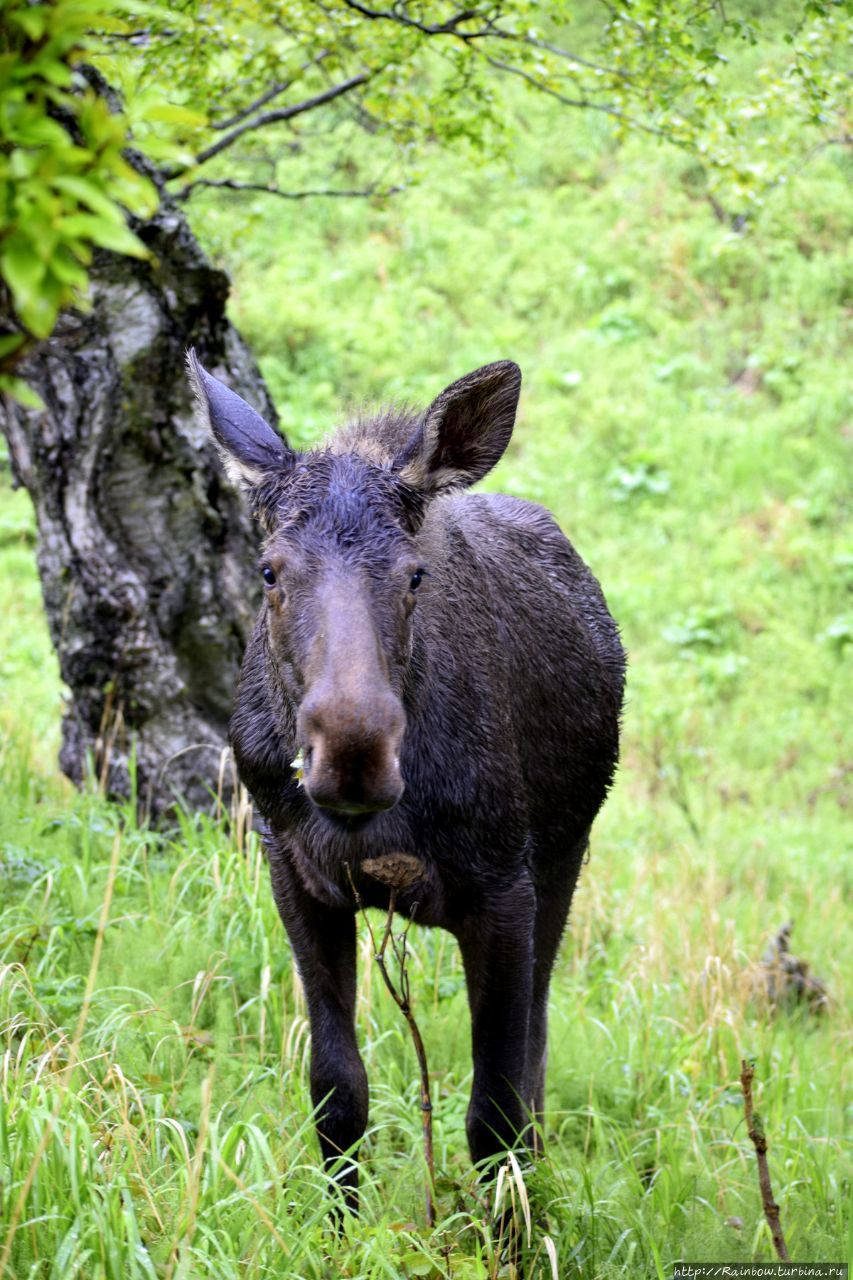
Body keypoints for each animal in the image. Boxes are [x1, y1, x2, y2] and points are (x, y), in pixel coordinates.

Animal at [188, 353, 625, 1208]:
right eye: (268, 571)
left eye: (415, 574)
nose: (352, 752)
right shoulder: (295, 875)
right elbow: (335, 1091)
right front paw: (338, 1224)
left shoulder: (506, 887)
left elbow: (495, 1113)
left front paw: (510, 1232)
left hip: (567, 854)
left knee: (536, 1054)